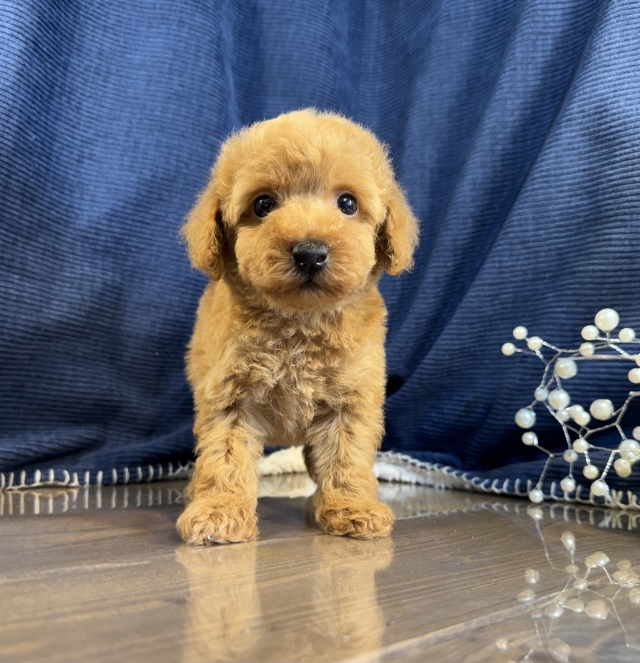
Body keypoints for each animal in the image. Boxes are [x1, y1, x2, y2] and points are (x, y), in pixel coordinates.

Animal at [177, 109, 419, 544]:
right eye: (263, 204)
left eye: (347, 203)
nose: (310, 253)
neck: (299, 324)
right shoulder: (229, 397)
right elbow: (224, 456)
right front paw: (220, 510)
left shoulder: (350, 400)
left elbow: (346, 457)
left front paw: (352, 507)